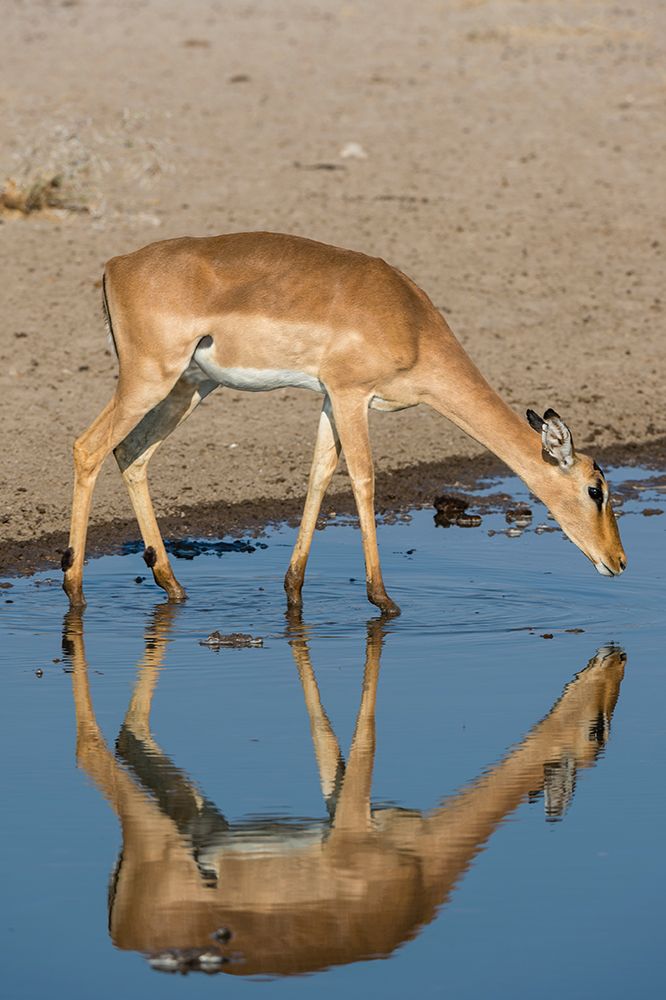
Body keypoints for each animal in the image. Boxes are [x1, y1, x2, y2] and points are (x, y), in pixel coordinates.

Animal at [61, 233, 626, 614]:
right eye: (595, 489)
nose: (619, 562)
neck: (411, 324)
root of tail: (116, 266)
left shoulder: (331, 401)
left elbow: (318, 476)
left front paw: (293, 592)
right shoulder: (353, 396)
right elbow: (363, 479)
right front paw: (384, 601)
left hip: (191, 386)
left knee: (131, 454)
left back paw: (172, 586)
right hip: (148, 379)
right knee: (88, 447)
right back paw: (74, 589)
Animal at [66, 605, 626, 977]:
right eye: (595, 732)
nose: (615, 659)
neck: (421, 872)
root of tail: (119, 930)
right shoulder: (353, 821)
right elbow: (366, 735)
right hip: (153, 832)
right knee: (92, 750)